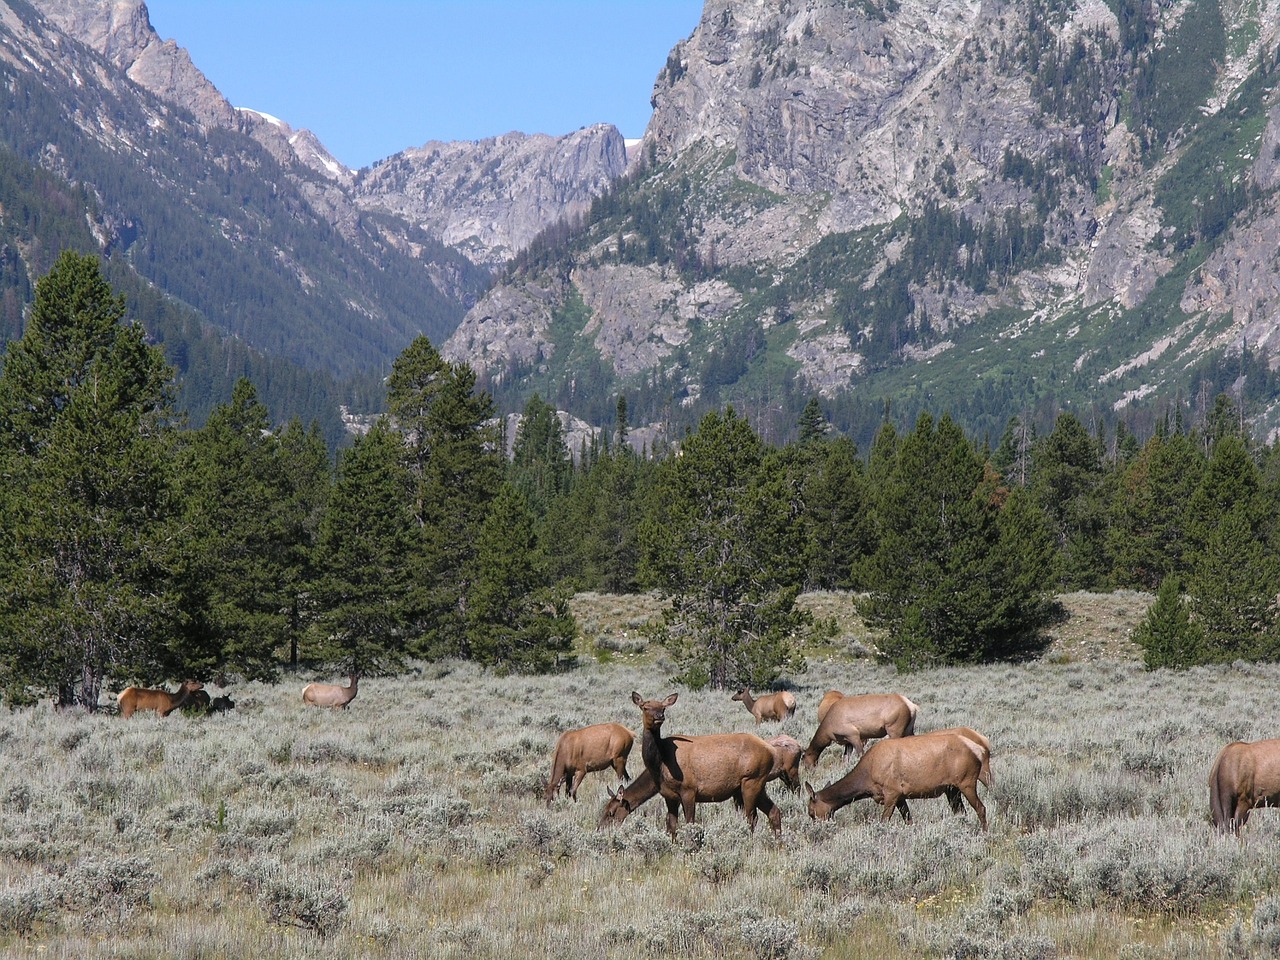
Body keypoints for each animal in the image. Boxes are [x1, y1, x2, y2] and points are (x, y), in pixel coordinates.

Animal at [627, 691, 783, 839]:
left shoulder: (689, 789)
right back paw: (778, 842)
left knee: (751, 817)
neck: (660, 763)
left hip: (752, 780)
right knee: (774, 811)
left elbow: (689, 823)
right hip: (754, 784)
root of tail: (771, 750)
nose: (659, 716)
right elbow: (671, 826)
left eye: (663, 707)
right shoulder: (669, 796)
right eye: (645, 707)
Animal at [803, 727, 993, 829]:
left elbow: (883, 821)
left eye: (811, 812)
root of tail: (978, 749)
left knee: (981, 808)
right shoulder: (901, 796)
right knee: (962, 812)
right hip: (952, 789)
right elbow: (909, 820)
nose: (815, 828)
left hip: (967, 781)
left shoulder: (891, 792)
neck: (866, 779)